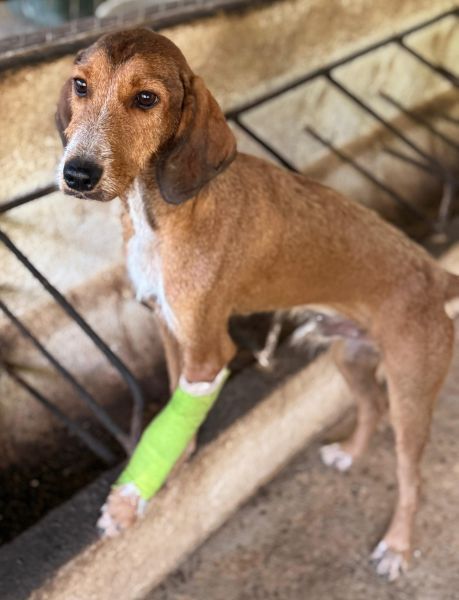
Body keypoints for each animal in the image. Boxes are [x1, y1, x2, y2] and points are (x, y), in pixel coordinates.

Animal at [56, 28, 459, 580]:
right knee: (371, 407)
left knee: (411, 475)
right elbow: (176, 415)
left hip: (412, 393)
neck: (168, 212)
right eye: (81, 85)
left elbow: (173, 420)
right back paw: (350, 453)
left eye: (146, 99)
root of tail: (437, 276)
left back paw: (397, 546)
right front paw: (173, 469)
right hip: (349, 356)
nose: (77, 173)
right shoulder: (171, 331)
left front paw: (128, 501)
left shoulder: (209, 352)